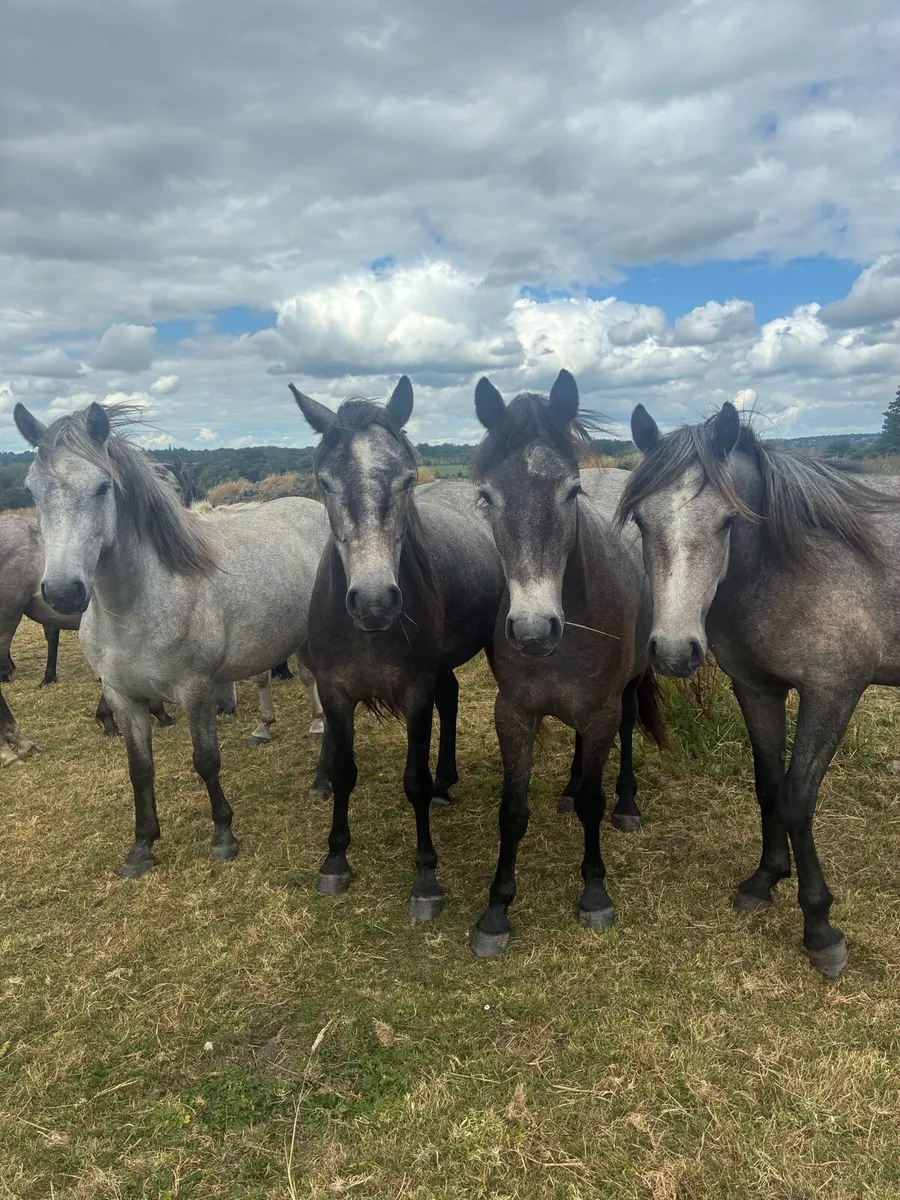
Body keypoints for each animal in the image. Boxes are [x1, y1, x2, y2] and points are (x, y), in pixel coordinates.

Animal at [13, 400, 329, 878]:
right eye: (32, 490)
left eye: (103, 487)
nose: (64, 591)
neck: (139, 605)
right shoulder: (124, 696)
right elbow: (140, 769)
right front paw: (142, 845)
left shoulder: (195, 689)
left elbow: (206, 760)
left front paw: (223, 836)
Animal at [291, 376, 505, 920]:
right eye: (324, 482)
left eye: (407, 480)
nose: (373, 601)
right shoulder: (336, 694)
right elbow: (343, 771)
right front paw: (335, 859)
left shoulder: (414, 692)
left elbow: (414, 782)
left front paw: (425, 877)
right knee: (451, 698)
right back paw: (448, 783)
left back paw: (444, 783)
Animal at [469, 370, 667, 957]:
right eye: (486, 496)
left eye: (571, 490)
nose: (534, 630)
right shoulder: (513, 714)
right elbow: (512, 811)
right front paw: (496, 911)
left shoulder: (601, 710)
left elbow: (594, 806)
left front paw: (595, 893)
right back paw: (569, 786)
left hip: (627, 691)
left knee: (626, 732)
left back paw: (626, 803)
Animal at [619, 402, 900, 978]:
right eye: (640, 520)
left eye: (729, 521)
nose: (675, 651)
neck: (795, 566)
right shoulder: (756, 688)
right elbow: (769, 785)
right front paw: (765, 879)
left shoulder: (832, 694)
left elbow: (796, 798)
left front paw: (820, 928)